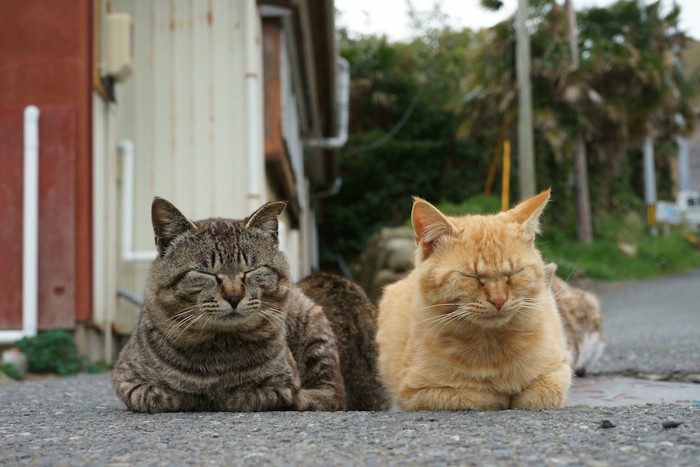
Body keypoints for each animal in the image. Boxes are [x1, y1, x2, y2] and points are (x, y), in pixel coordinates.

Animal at [110, 197, 348, 414]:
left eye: (251, 270)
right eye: (205, 273)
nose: (234, 297)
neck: (219, 351)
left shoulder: (284, 385)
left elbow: (253, 396)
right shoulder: (126, 378)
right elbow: (157, 396)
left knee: (332, 395)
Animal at [374, 189, 572, 410]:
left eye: (512, 274)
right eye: (472, 277)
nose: (499, 300)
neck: (491, 344)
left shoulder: (559, 369)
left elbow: (539, 395)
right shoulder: (415, 393)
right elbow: (478, 396)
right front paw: (497, 395)